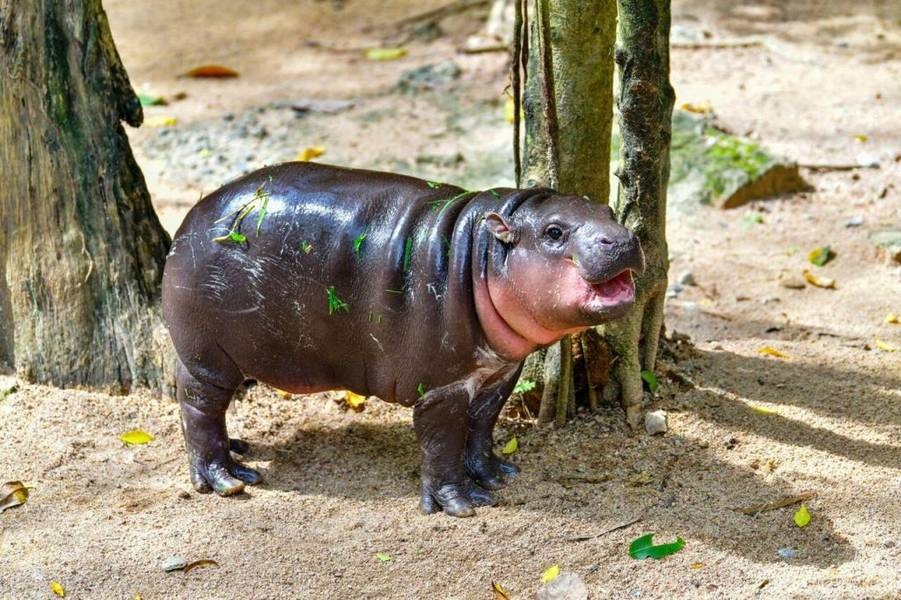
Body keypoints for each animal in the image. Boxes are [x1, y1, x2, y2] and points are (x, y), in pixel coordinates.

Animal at [160, 162, 640, 516]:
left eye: (609, 211)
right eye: (554, 232)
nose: (624, 239)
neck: (482, 253)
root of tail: (191, 216)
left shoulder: (499, 374)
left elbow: (482, 428)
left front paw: (495, 474)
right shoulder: (441, 389)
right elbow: (442, 444)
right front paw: (461, 504)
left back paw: (239, 449)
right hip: (207, 356)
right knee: (199, 408)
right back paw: (229, 479)